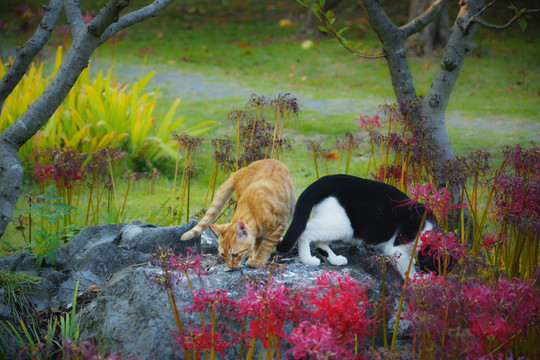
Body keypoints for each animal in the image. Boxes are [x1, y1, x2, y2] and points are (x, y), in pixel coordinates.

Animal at [278, 174, 438, 278]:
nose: (435, 276)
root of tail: (325, 180)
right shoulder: (397, 247)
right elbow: (408, 269)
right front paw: (417, 283)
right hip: (342, 224)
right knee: (306, 231)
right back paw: (308, 259)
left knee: (320, 241)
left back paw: (335, 259)